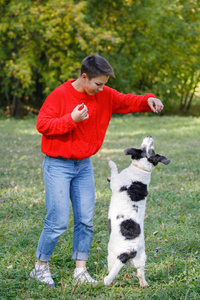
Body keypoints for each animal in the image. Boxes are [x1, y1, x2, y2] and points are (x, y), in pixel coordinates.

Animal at [104, 135, 171, 286]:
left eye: (149, 149)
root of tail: (130, 251)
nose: (149, 136)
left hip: (111, 256)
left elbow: (114, 170)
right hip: (141, 259)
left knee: (112, 272)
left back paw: (109, 282)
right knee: (141, 273)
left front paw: (111, 163)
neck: (142, 169)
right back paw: (144, 285)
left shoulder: (116, 183)